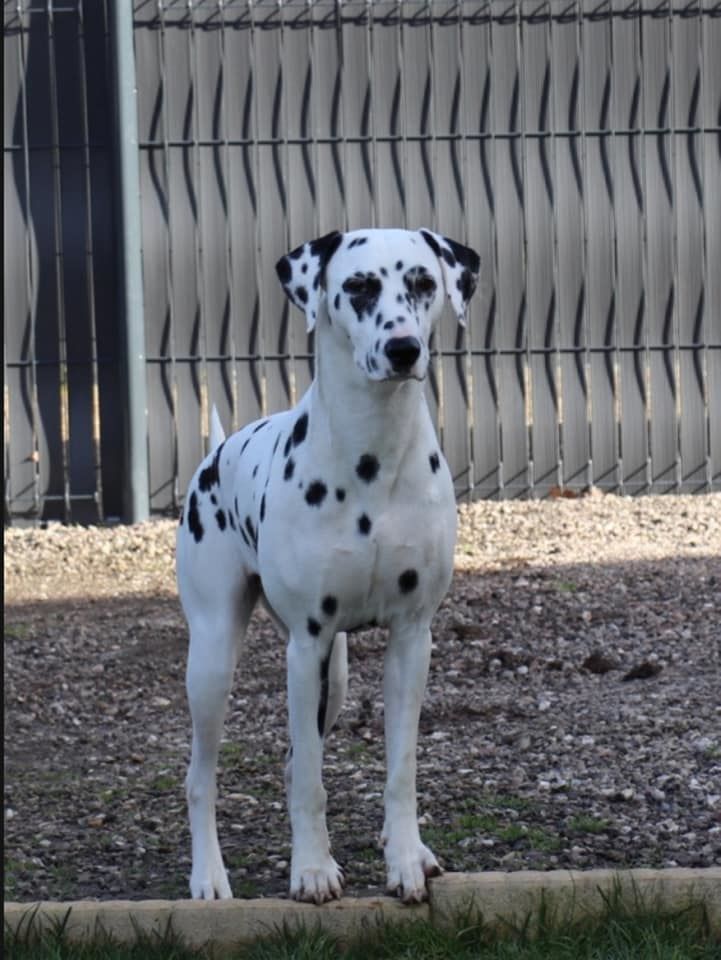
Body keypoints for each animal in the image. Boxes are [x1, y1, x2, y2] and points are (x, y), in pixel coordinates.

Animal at [174, 229, 478, 904]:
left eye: (424, 282)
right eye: (359, 286)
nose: (403, 347)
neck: (373, 458)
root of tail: (217, 452)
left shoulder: (411, 639)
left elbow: (400, 769)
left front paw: (405, 859)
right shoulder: (305, 643)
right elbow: (313, 781)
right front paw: (312, 869)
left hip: (331, 680)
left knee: (295, 757)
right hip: (213, 661)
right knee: (203, 776)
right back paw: (207, 875)